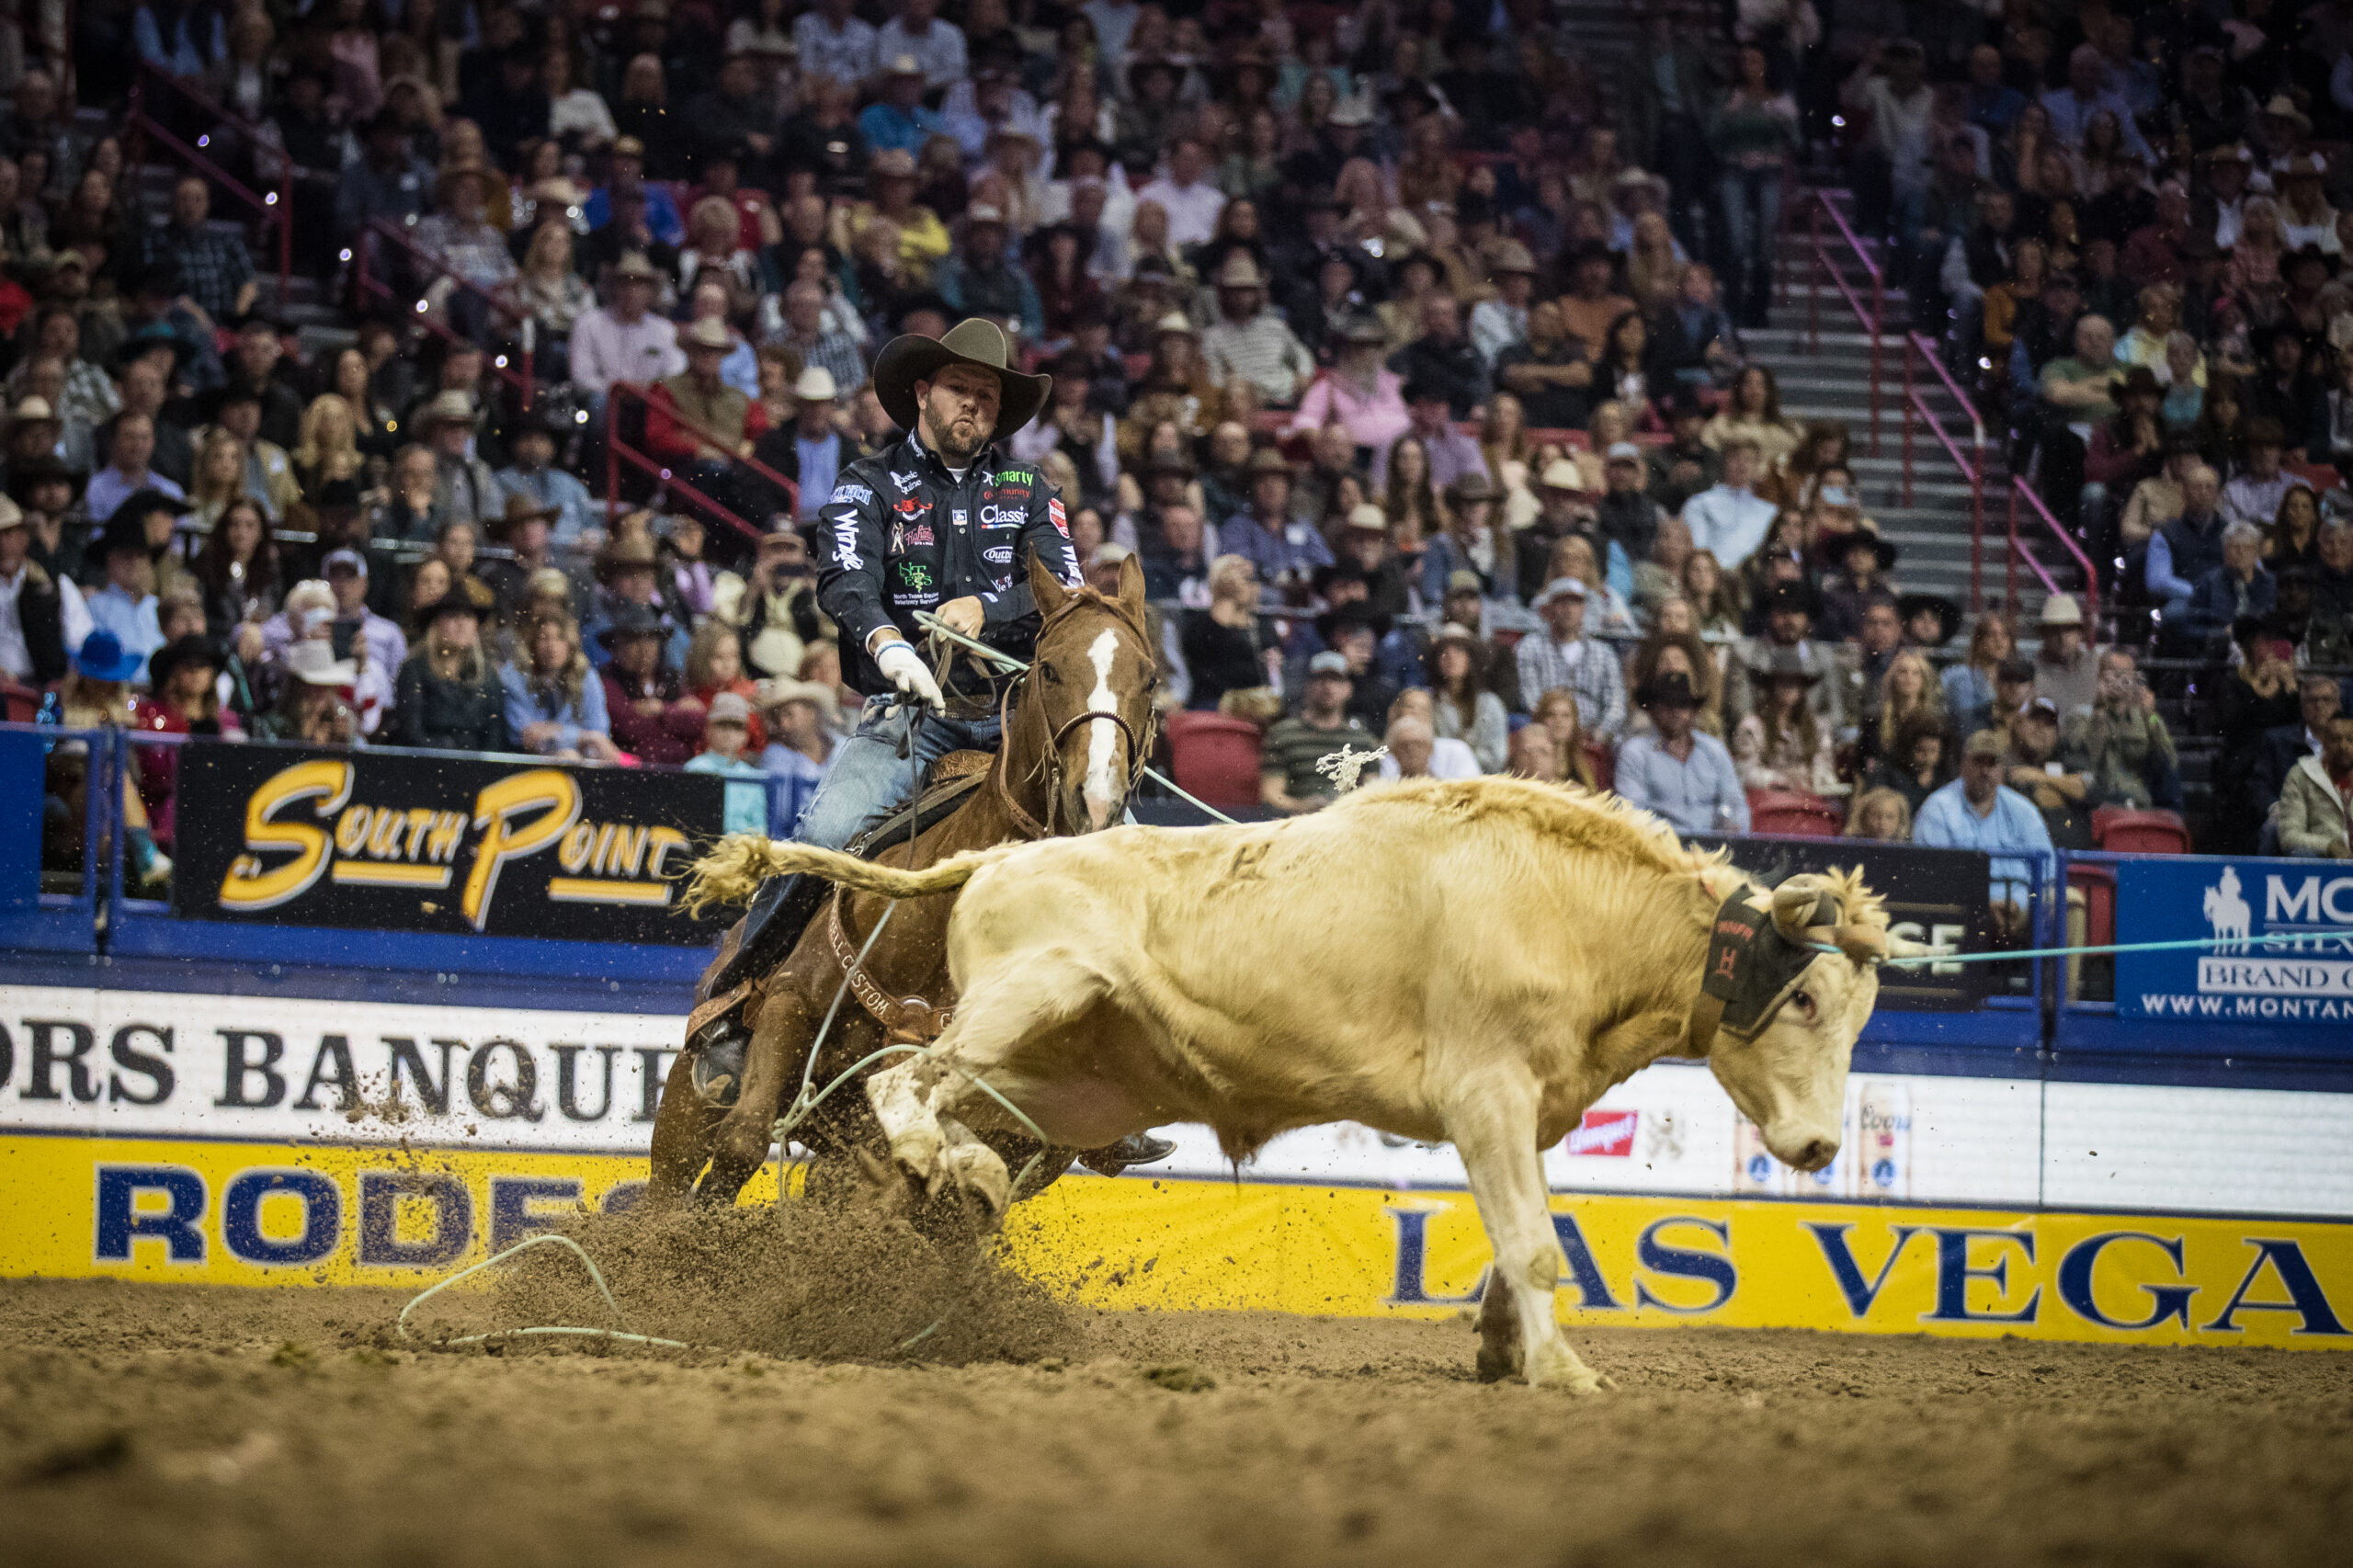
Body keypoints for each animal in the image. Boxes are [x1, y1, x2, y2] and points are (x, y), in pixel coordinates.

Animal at [649, 555, 1162, 1200]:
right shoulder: (789, 1002)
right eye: (1048, 670)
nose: (1094, 801)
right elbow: (741, 1141)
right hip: (685, 1109)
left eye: (1149, 680)